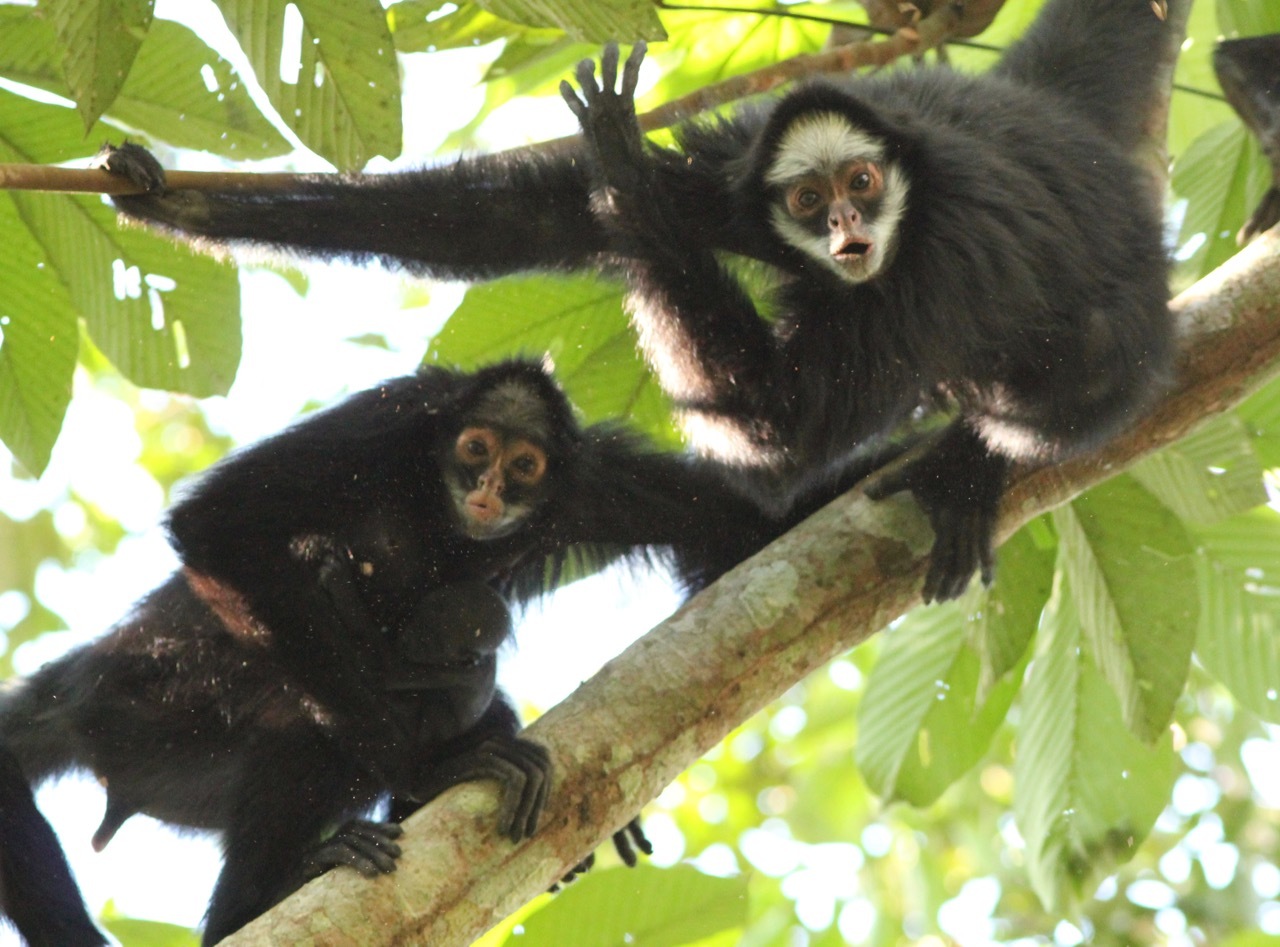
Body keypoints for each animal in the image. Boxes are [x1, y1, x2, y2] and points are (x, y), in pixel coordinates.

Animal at [0, 358, 768, 941]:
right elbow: (216, 522)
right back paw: (262, 899)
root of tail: (92, 670)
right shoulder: (390, 418)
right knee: (311, 730)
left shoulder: (586, 482)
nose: (489, 488)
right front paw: (431, 769)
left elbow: (737, 529)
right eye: (474, 449)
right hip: (160, 708)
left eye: (524, 464)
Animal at [102, 0, 1177, 604]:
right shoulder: (735, 171)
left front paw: (620, 163)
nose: (843, 228)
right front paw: (185, 207)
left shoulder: (933, 270)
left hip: (1118, 313)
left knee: (1070, 384)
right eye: (807, 200)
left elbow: (782, 433)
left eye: (862, 186)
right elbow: (520, 219)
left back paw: (970, 463)